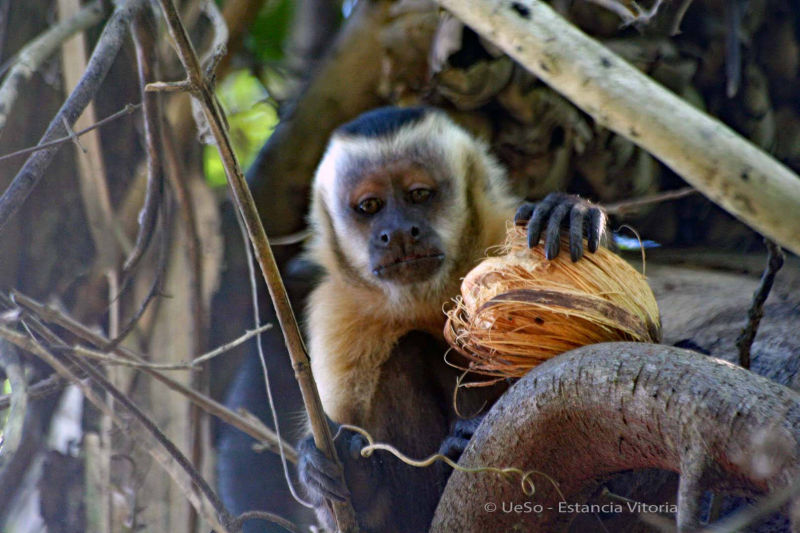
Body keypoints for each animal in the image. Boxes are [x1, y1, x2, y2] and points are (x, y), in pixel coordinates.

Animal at [296, 106, 604, 528]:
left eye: (418, 195)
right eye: (370, 206)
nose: (397, 232)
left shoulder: (502, 232)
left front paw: (569, 209)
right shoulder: (336, 312)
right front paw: (349, 477)